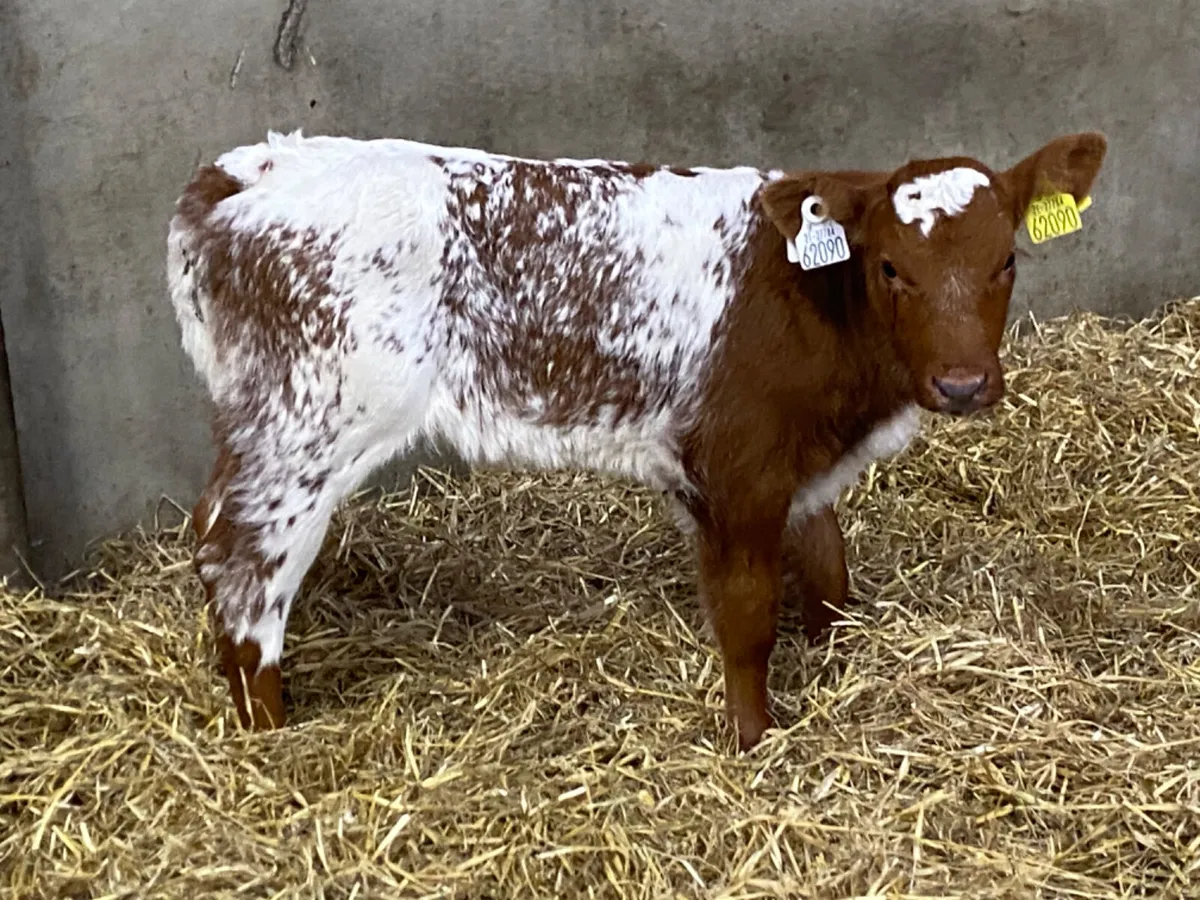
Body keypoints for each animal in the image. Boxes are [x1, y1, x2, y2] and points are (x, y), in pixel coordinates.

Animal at [166, 128, 1107, 751]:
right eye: (889, 267)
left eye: (1006, 261)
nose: (963, 385)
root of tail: (244, 170)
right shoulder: (733, 466)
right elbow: (747, 616)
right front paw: (754, 741)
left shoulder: (797, 465)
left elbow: (829, 575)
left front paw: (835, 661)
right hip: (310, 425)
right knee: (243, 559)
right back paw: (268, 734)